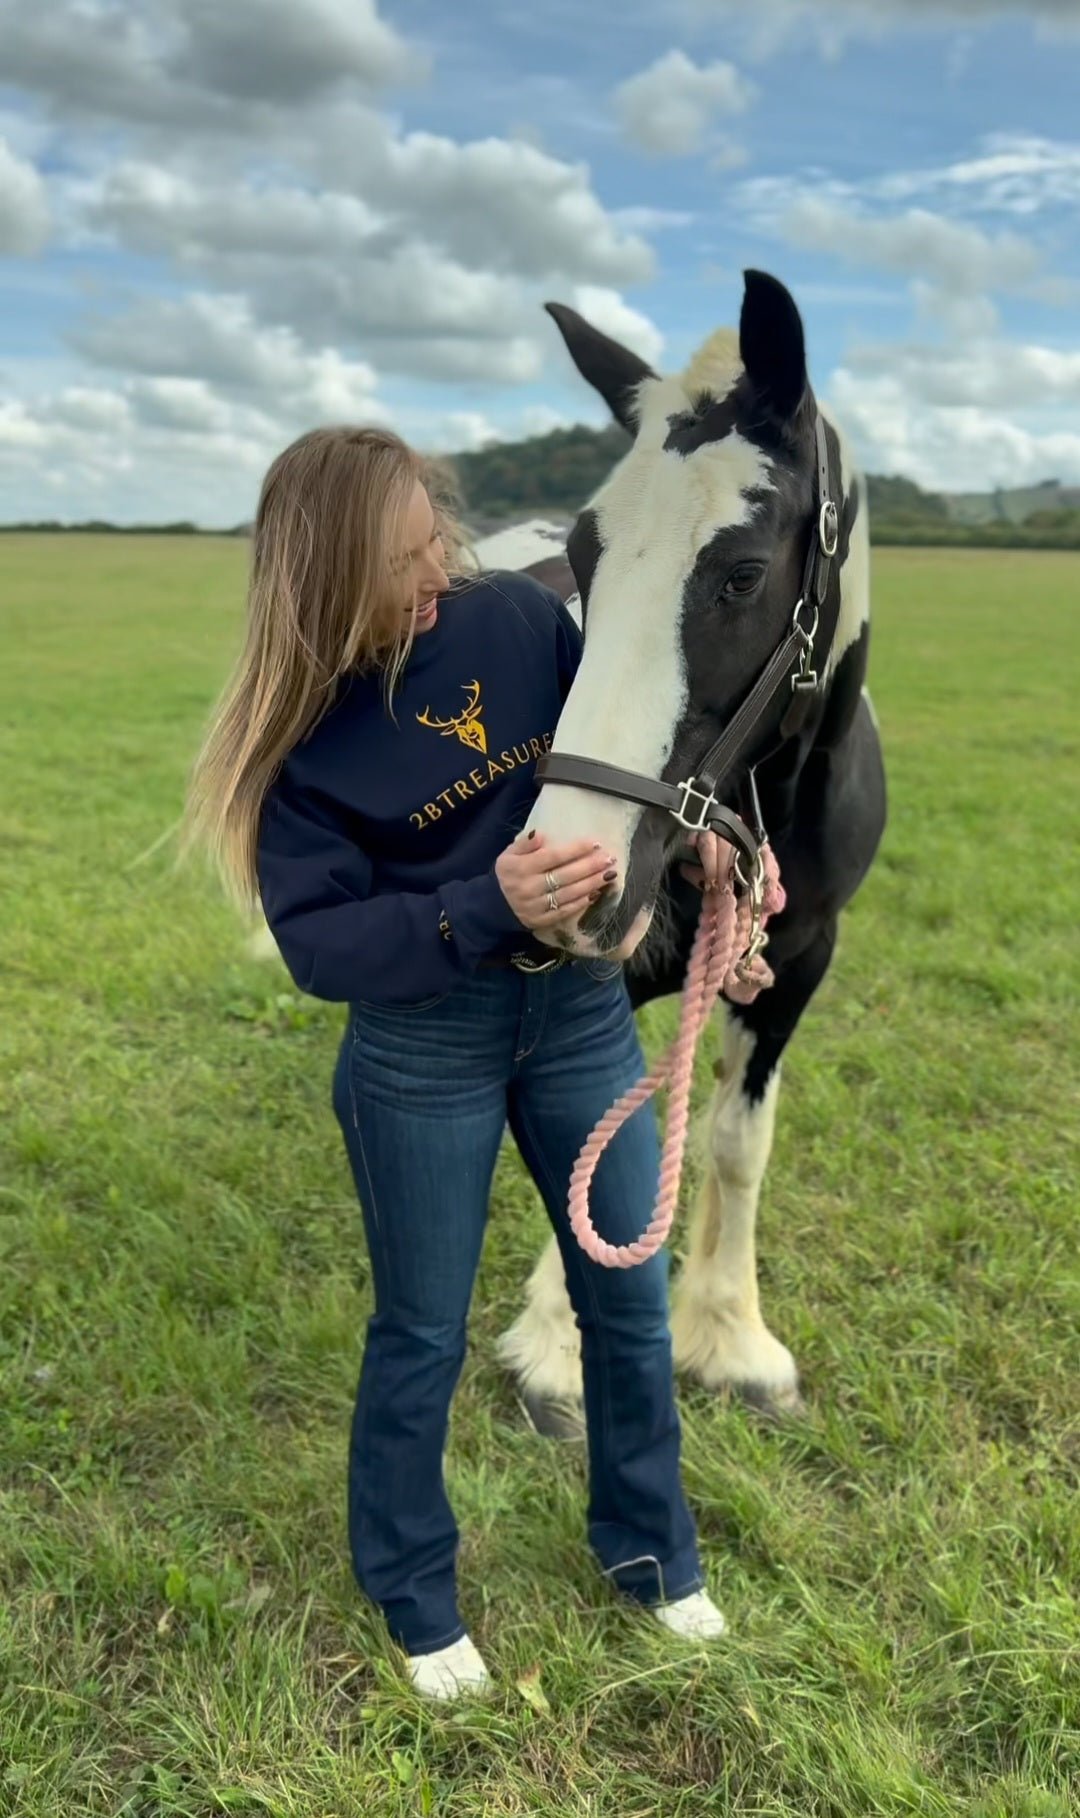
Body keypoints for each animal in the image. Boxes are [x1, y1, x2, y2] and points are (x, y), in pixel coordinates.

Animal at [479, 269, 887, 1436]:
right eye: (586, 554)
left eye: (742, 574)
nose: (565, 872)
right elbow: (588, 1137)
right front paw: (560, 1351)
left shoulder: (799, 961)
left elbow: (738, 1143)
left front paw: (732, 1338)